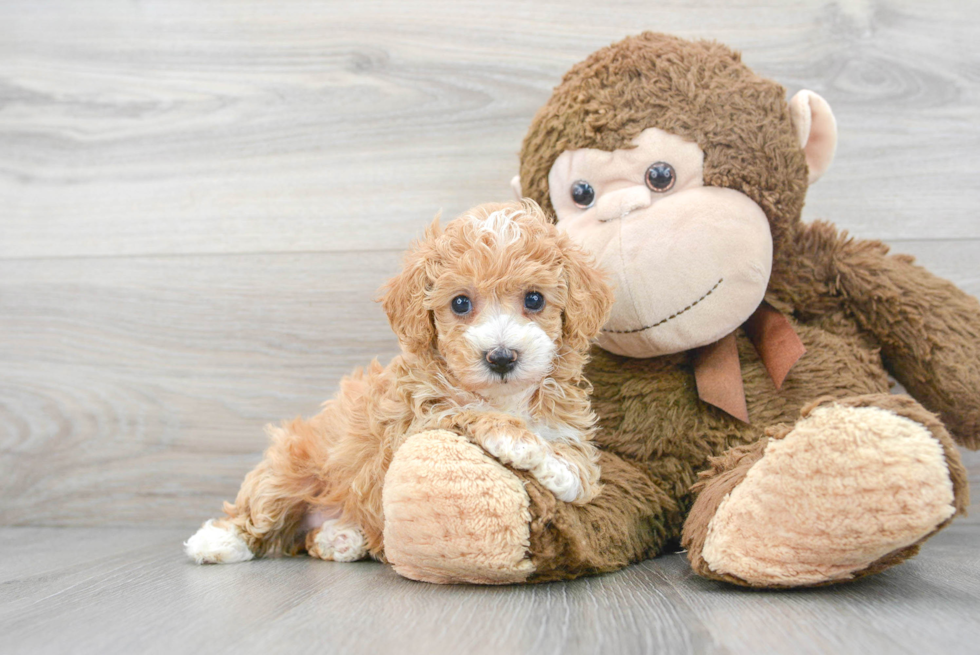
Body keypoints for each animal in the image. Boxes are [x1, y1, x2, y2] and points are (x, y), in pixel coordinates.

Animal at [185, 199, 612, 564]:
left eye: (534, 299)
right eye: (460, 303)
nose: (502, 357)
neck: (505, 397)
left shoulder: (565, 422)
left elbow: (582, 465)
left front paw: (561, 471)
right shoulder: (417, 418)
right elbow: (469, 411)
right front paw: (522, 442)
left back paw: (339, 537)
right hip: (291, 465)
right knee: (261, 507)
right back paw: (217, 541)